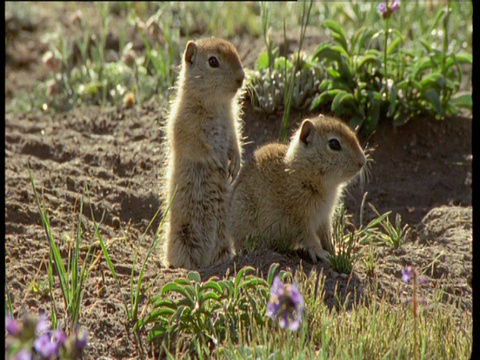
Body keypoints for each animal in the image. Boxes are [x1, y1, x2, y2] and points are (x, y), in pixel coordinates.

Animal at [162, 38, 246, 270]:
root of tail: (204, 261)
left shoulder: (232, 123)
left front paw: (235, 165)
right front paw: (218, 161)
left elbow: (235, 141)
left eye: (237, 53)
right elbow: (198, 145)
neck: (215, 104)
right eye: (213, 61)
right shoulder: (185, 124)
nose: (241, 78)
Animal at [231, 115, 366, 264]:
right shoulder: (299, 220)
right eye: (334, 144)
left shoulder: (324, 218)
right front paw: (323, 254)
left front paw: (335, 251)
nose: (362, 161)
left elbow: (326, 236)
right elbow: (310, 238)